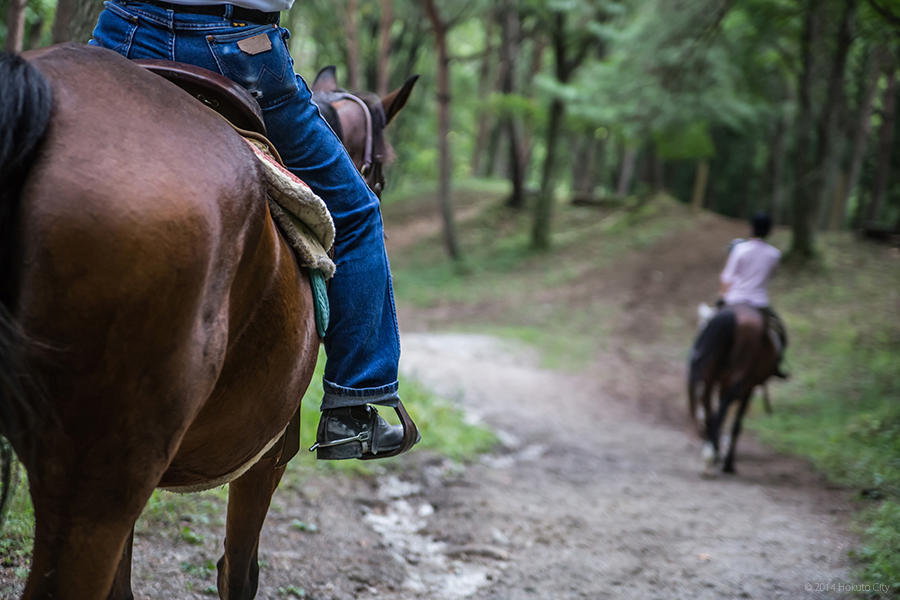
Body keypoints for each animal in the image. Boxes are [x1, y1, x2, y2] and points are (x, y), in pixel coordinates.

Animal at [688, 304, 780, 474]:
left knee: (708, 404)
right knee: (722, 408)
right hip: (740, 378)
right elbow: (737, 424)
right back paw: (711, 456)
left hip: (710, 373)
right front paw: (727, 462)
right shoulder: (748, 387)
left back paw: (711, 450)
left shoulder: (723, 382)